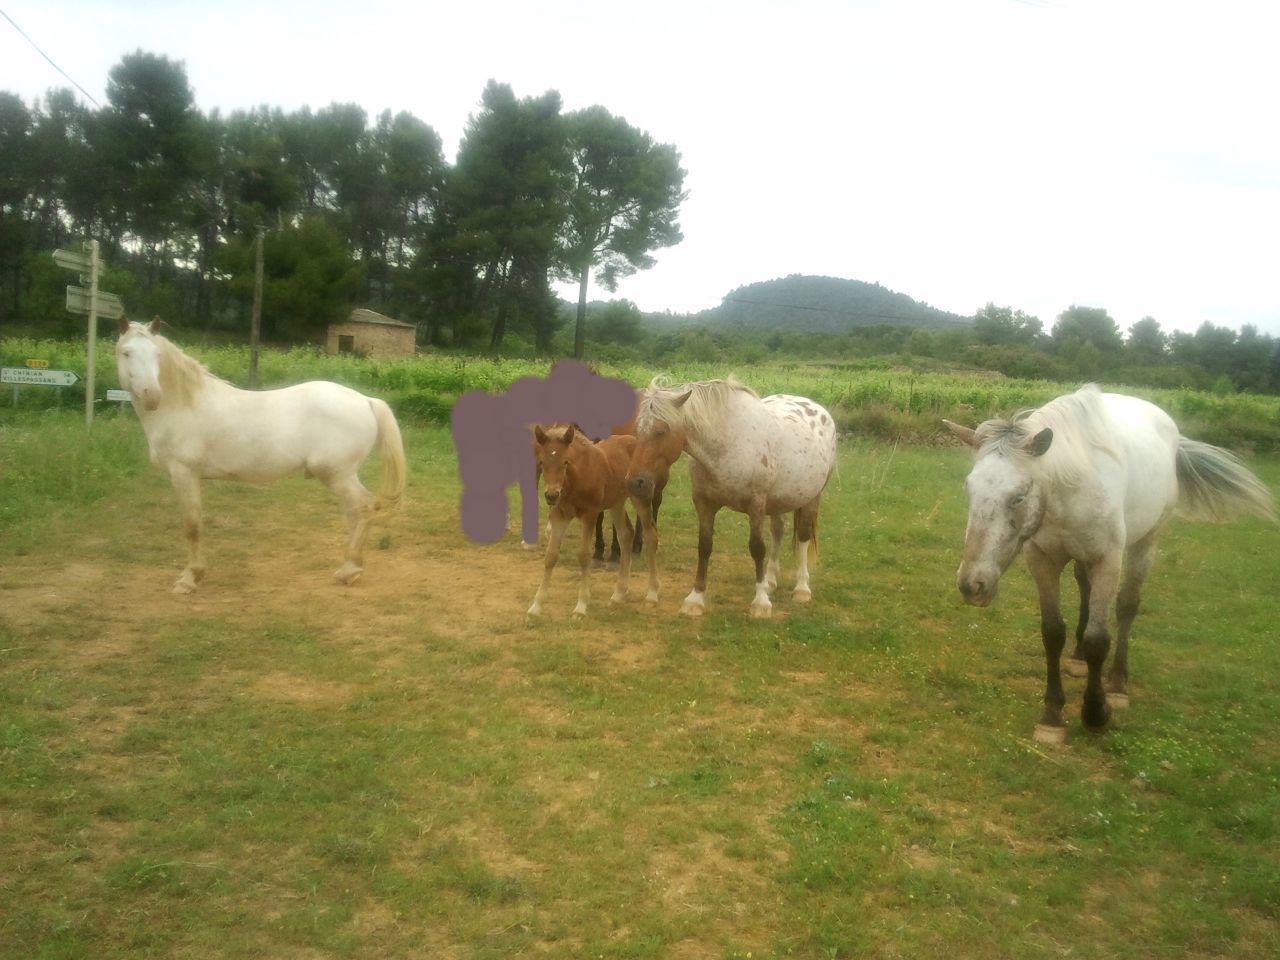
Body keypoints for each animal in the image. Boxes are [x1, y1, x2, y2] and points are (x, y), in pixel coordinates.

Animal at [115, 318, 407, 593]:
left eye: (157, 355)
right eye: (126, 352)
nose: (152, 396)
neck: (185, 405)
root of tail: (366, 400)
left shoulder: (183, 474)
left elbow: (192, 526)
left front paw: (189, 579)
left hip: (337, 475)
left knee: (364, 507)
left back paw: (350, 570)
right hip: (342, 476)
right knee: (355, 512)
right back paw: (350, 567)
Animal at [527, 424, 636, 618]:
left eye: (565, 462)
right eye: (542, 462)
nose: (551, 495)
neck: (574, 480)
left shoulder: (589, 514)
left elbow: (584, 556)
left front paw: (581, 606)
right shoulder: (559, 515)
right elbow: (550, 556)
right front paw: (536, 606)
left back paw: (653, 593)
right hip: (616, 503)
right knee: (626, 534)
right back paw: (619, 593)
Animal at [625, 377, 838, 618]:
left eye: (660, 431)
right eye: (638, 430)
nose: (634, 482)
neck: (727, 443)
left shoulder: (756, 505)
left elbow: (757, 548)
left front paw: (760, 602)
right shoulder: (704, 504)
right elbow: (704, 546)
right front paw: (695, 599)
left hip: (812, 497)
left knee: (802, 537)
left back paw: (802, 588)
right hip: (779, 501)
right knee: (778, 532)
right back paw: (770, 581)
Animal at [945, 384, 1275, 742]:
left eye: (1018, 496)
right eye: (969, 489)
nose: (973, 584)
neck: (1072, 488)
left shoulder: (1107, 561)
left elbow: (1098, 639)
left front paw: (1096, 712)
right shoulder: (1043, 561)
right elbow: (1052, 633)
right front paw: (1052, 716)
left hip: (1146, 543)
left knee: (1127, 606)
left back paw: (1117, 685)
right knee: (1085, 590)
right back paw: (1077, 660)